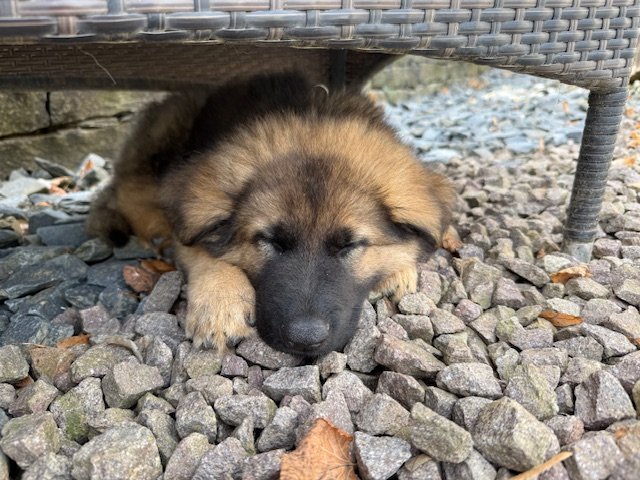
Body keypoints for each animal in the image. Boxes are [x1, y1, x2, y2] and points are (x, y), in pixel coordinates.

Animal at [87, 72, 455, 356]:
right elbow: (200, 250)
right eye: (270, 241)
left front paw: (405, 264)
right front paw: (220, 303)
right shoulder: (189, 217)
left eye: (349, 246)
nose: (305, 340)